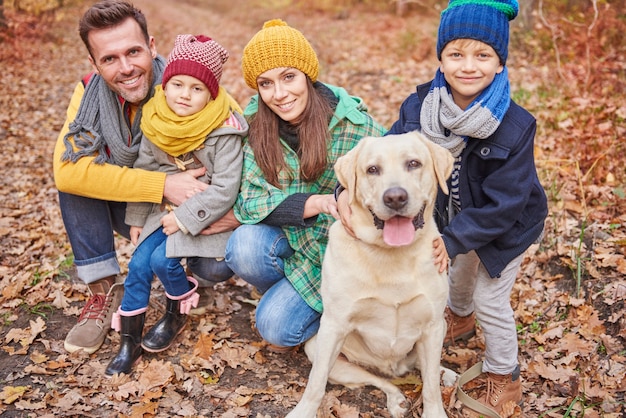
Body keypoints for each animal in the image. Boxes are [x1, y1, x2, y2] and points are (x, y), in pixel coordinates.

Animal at [288, 133, 454, 418]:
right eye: (372, 169)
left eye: (414, 163)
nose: (395, 197)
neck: (391, 254)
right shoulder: (333, 325)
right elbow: (315, 382)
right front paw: (303, 412)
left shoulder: (433, 326)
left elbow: (431, 386)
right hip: (322, 349)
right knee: (379, 380)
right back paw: (396, 398)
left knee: (425, 369)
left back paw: (446, 373)